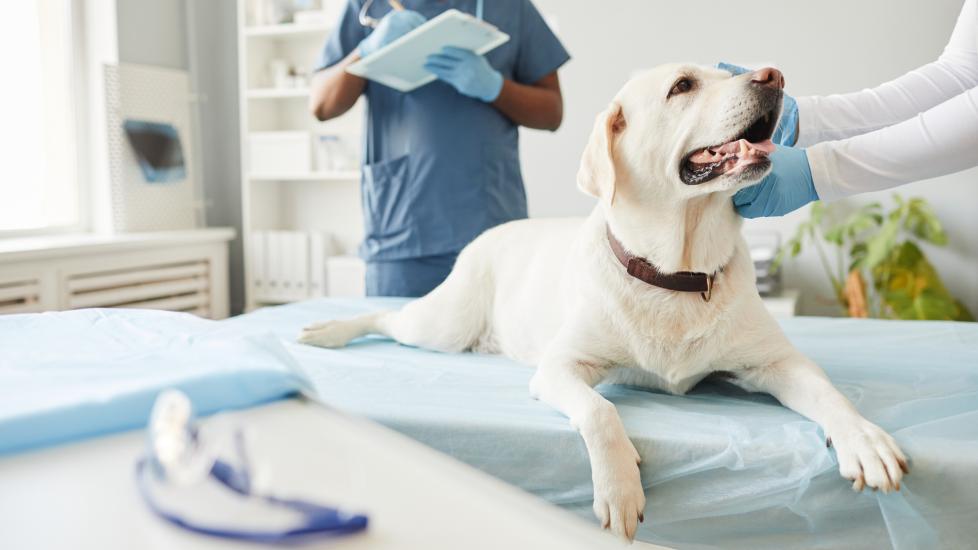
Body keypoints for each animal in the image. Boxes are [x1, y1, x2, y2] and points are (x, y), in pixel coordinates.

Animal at [300, 64, 908, 544]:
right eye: (683, 85)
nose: (774, 76)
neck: (674, 274)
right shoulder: (561, 365)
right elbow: (599, 410)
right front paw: (619, 489)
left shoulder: (778, 363)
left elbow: (830, 395)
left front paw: (865, 440)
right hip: (443, 324)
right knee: (384, 315)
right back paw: (323, 329)